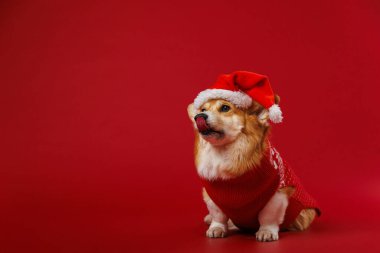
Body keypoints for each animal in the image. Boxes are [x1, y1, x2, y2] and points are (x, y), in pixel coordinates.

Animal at [189, 70, 320, 241]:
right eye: (202, 110)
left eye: (225, 108)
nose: (199, 118)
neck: (225, 152)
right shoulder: (212, 197)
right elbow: (219, 216)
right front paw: (216, 228)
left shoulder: (276, 194)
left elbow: (268, 217)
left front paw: (267, 232)